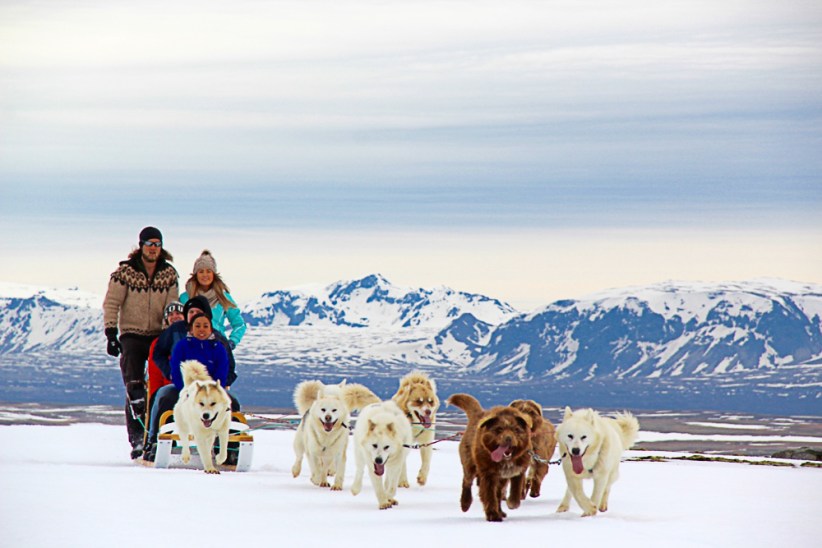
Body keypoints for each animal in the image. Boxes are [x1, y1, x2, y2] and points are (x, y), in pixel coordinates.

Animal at [448, 394, 536, 524]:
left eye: (515, 429)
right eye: (499, 429)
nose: (508, 438)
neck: (505, 460)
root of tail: (478, 414)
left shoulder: (518, 471)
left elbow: (515, 492)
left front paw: (511, 504)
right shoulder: (488, 474)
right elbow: (489, 495)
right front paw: (493, 515)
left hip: (501, 479)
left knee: (498, 493)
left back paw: (501, 511)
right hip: (469, 464)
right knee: (467, 481)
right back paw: (465, 503)